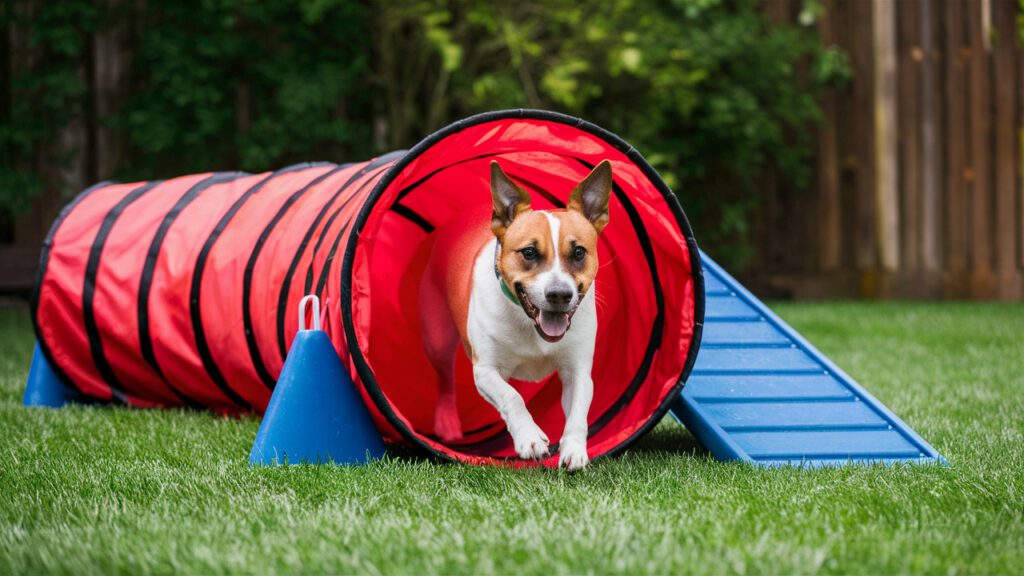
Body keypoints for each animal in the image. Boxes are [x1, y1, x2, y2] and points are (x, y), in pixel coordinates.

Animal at [415, 158, 606, 469]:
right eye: (529, 252)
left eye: (579, 252)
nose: (559, 294)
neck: (529, 323)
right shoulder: (485, 370)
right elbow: (512, 396)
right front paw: (530, 439)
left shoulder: (578, 369)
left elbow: (579, 408)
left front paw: (574, 450)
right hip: (437, 336)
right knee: (444, 377)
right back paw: (447, 423)